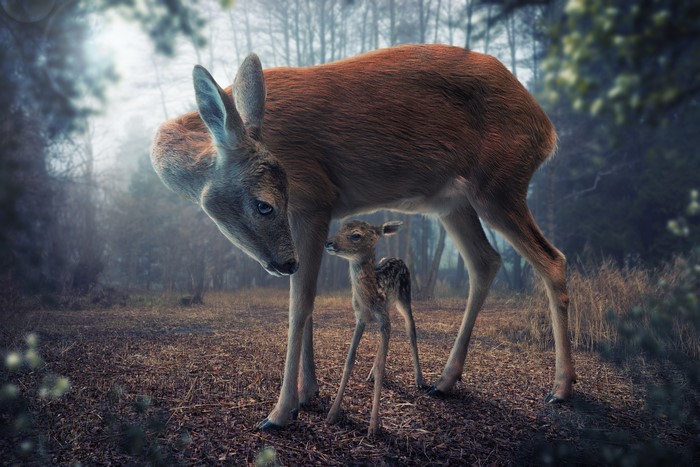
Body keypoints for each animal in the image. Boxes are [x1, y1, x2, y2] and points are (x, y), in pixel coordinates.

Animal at [324, 220, 424, 435]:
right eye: (340, 227)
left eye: (356, 235)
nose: (328, 242)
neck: (369, 298)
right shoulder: (360, 318)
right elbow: (349, 360)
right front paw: (332, 414)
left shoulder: (383, 318)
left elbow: (382, 366)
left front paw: (373, 426)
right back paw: (370, 374)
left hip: (405, 298)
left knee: (410, 329)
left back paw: (419, 379)